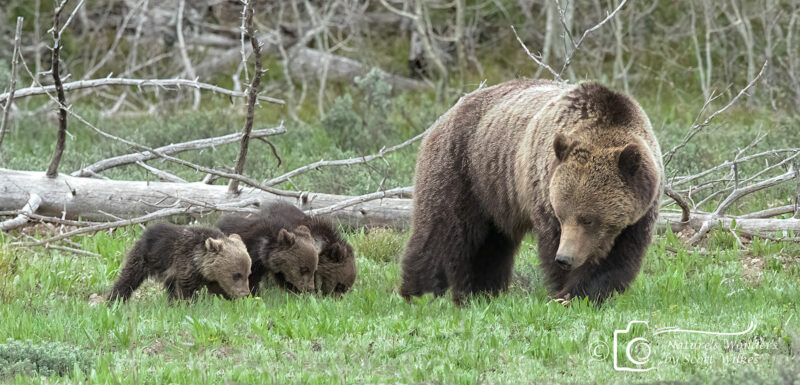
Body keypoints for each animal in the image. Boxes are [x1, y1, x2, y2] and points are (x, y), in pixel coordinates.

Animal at [106, 224, 250, 302]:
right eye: (236, 275)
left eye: (248, 273)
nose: (246, 293)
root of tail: (146, 232)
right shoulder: (185, 263)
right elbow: (186, 289)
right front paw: (186, 304)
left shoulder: (210, 278)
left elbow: (219, 289)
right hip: (144, 257)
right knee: (128, 278)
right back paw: (114, 299)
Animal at [400, 79, 664, 304]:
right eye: (561, 215)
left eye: (587, 219)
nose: (565, 258)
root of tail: (446, 114)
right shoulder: (543, 191)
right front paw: (567, 292)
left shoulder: (640, 212)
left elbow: (619, 257)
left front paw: (586, 293)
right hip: (463, 169)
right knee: (441, 230)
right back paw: (418, 293)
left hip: (494, 194)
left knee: (489, 245)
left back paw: (479, 291)